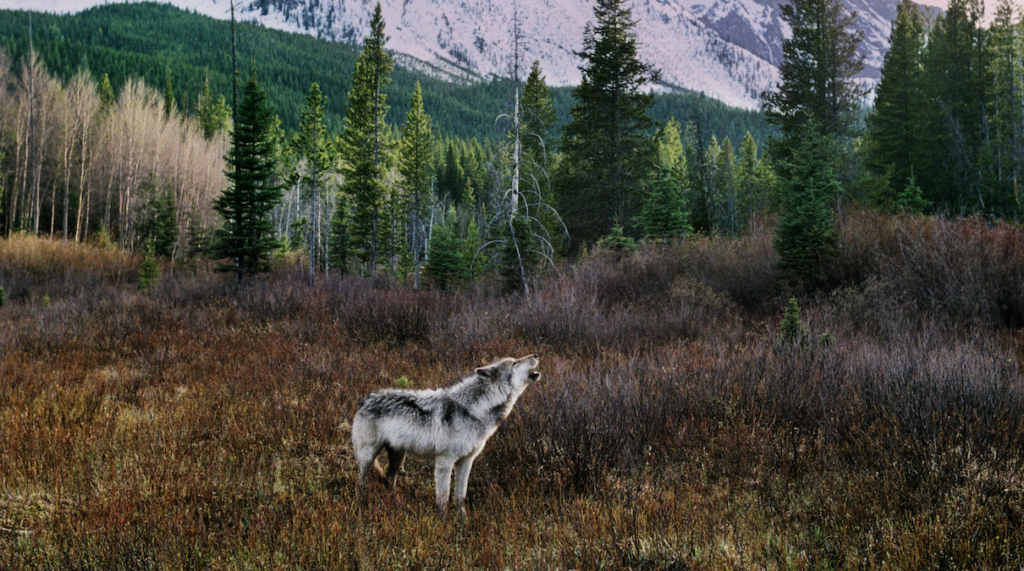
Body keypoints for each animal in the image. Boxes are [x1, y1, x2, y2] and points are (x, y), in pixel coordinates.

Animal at [351, 354, 541, 515]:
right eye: (515, 363)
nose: (536, 355)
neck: (474, 410)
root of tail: (364, 400)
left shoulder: (466, 461)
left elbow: (460, 496)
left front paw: (463, 520)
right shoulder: (444, 461)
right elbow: (444, 497)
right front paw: (444, 523)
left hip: (398, 458)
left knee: (388, 480)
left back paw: (397, 507)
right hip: (368, 457)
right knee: (360, 483)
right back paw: (361, 508)